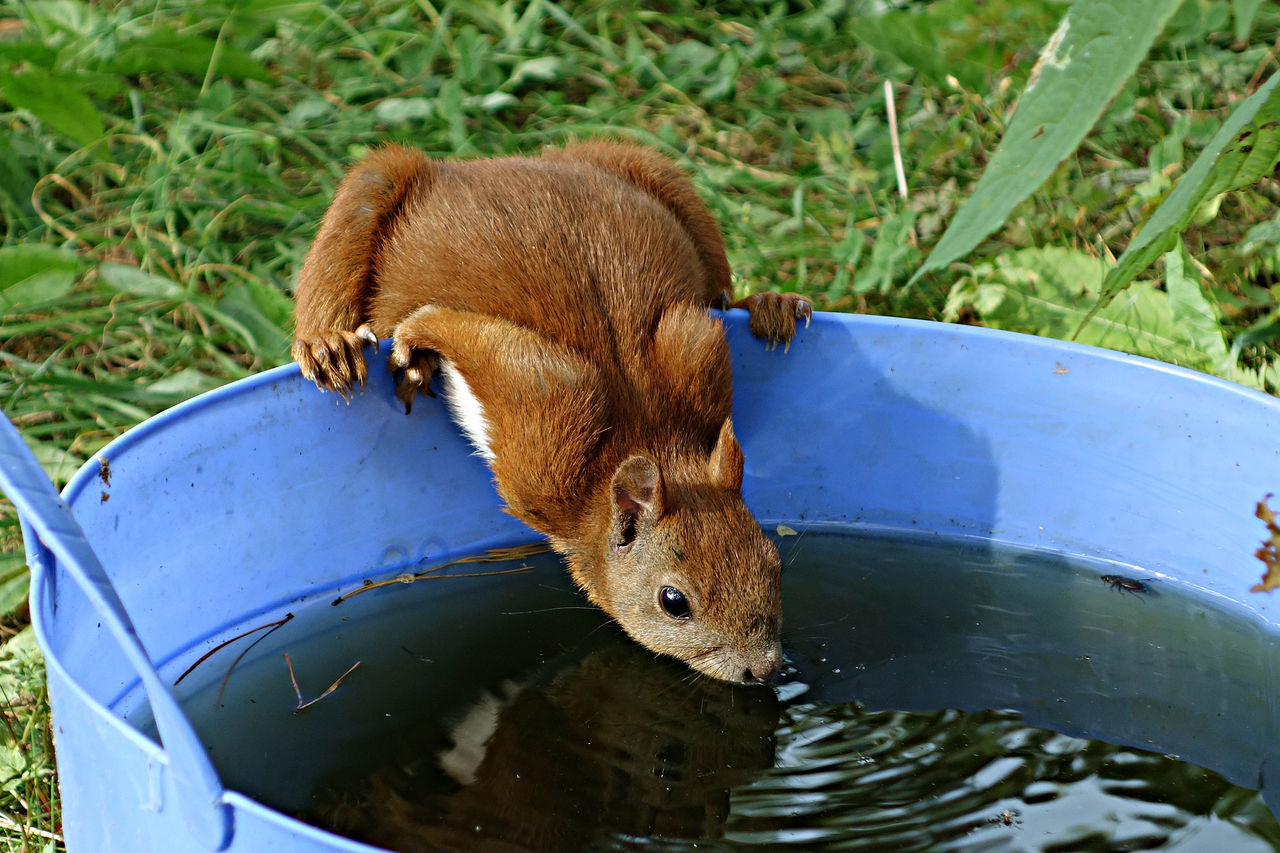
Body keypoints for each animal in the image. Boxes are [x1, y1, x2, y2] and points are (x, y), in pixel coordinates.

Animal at [293, 140, 803, 686]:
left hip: (658, 176)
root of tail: (480, 166)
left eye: (774, 563)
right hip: (371, 192)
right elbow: (462, 333)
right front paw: (415, 332)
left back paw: (769, 304)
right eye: (673, 602)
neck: (647, 438)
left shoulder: (696, 344)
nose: (763, 670)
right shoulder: (544, 417)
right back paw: (330, 344)